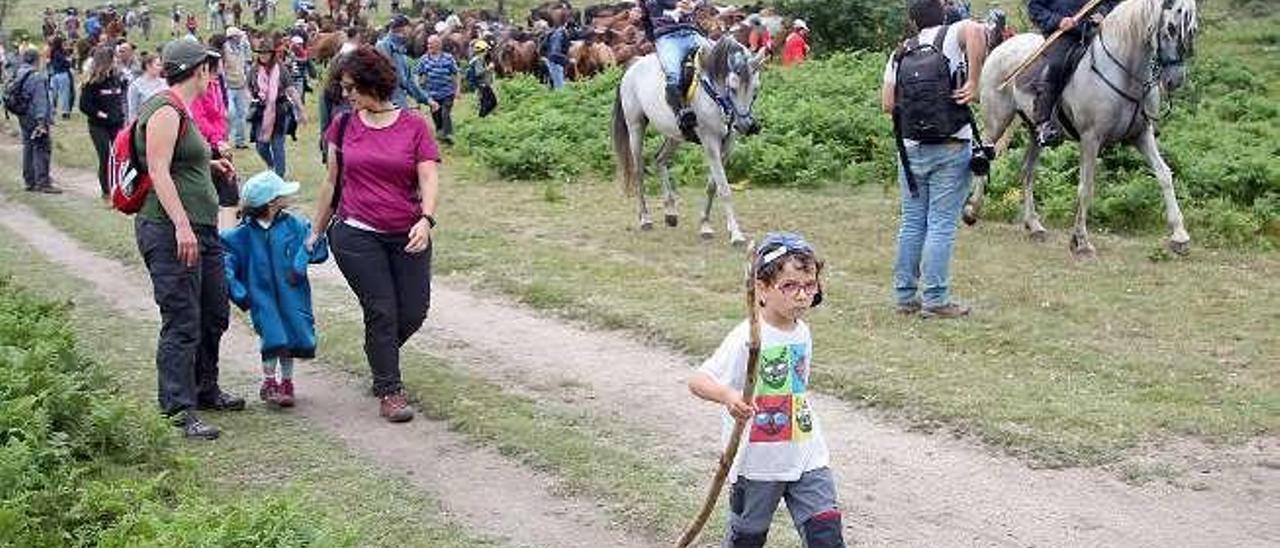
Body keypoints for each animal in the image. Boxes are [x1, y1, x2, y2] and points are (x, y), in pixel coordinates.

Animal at [614, 36, 762, 245]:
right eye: (732, 88)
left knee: (659, 159)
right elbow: (724, 189)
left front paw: (705, 224)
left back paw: (670, 212)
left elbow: (712, 186)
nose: (746, 125)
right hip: (636, 127)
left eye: (755, 89)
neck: (715, 95)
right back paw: (645, 218)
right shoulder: (710, 142)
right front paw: (736, 234)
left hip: (675, 134)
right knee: (639, 170)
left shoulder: (727, 145)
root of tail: (634, 64)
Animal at [967, 0, 1198, 258]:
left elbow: (1164, 174)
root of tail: (1002, 47)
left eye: (1192, 30)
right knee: (984, 155)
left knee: (1026, 171)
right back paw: (971, 210)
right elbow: (1086, 187)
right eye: (1170, 28)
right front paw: (1081, 240)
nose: (1175, 80)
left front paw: (1179, 235)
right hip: (996, 122)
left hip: (1035, 133)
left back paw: (1034, 225)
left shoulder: (1141, 135)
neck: (1123, 71)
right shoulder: (1090, 139)